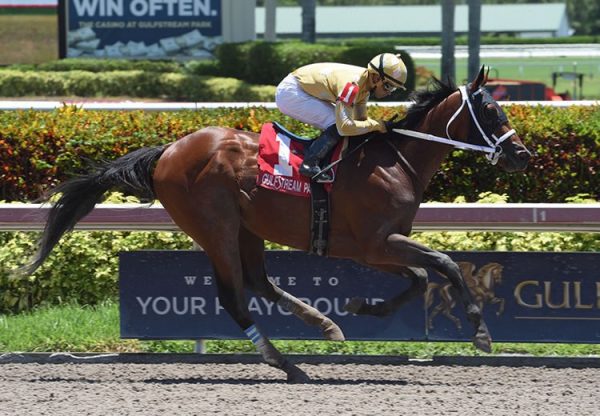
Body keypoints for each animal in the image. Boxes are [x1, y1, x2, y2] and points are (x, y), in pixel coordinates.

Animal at [21, 66, 532, 382]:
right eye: (491, 110)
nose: (522, 155)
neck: (395, 160)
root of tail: (168, 151)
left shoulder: (378, 246)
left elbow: (421, 276)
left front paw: (361, 306)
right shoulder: (375, 242)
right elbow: (442, 264)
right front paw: (481, 333)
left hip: (248, 228)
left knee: (259, 283)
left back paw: (325, 325)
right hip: (215, 227)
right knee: (234, 295)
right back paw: (285, 362)